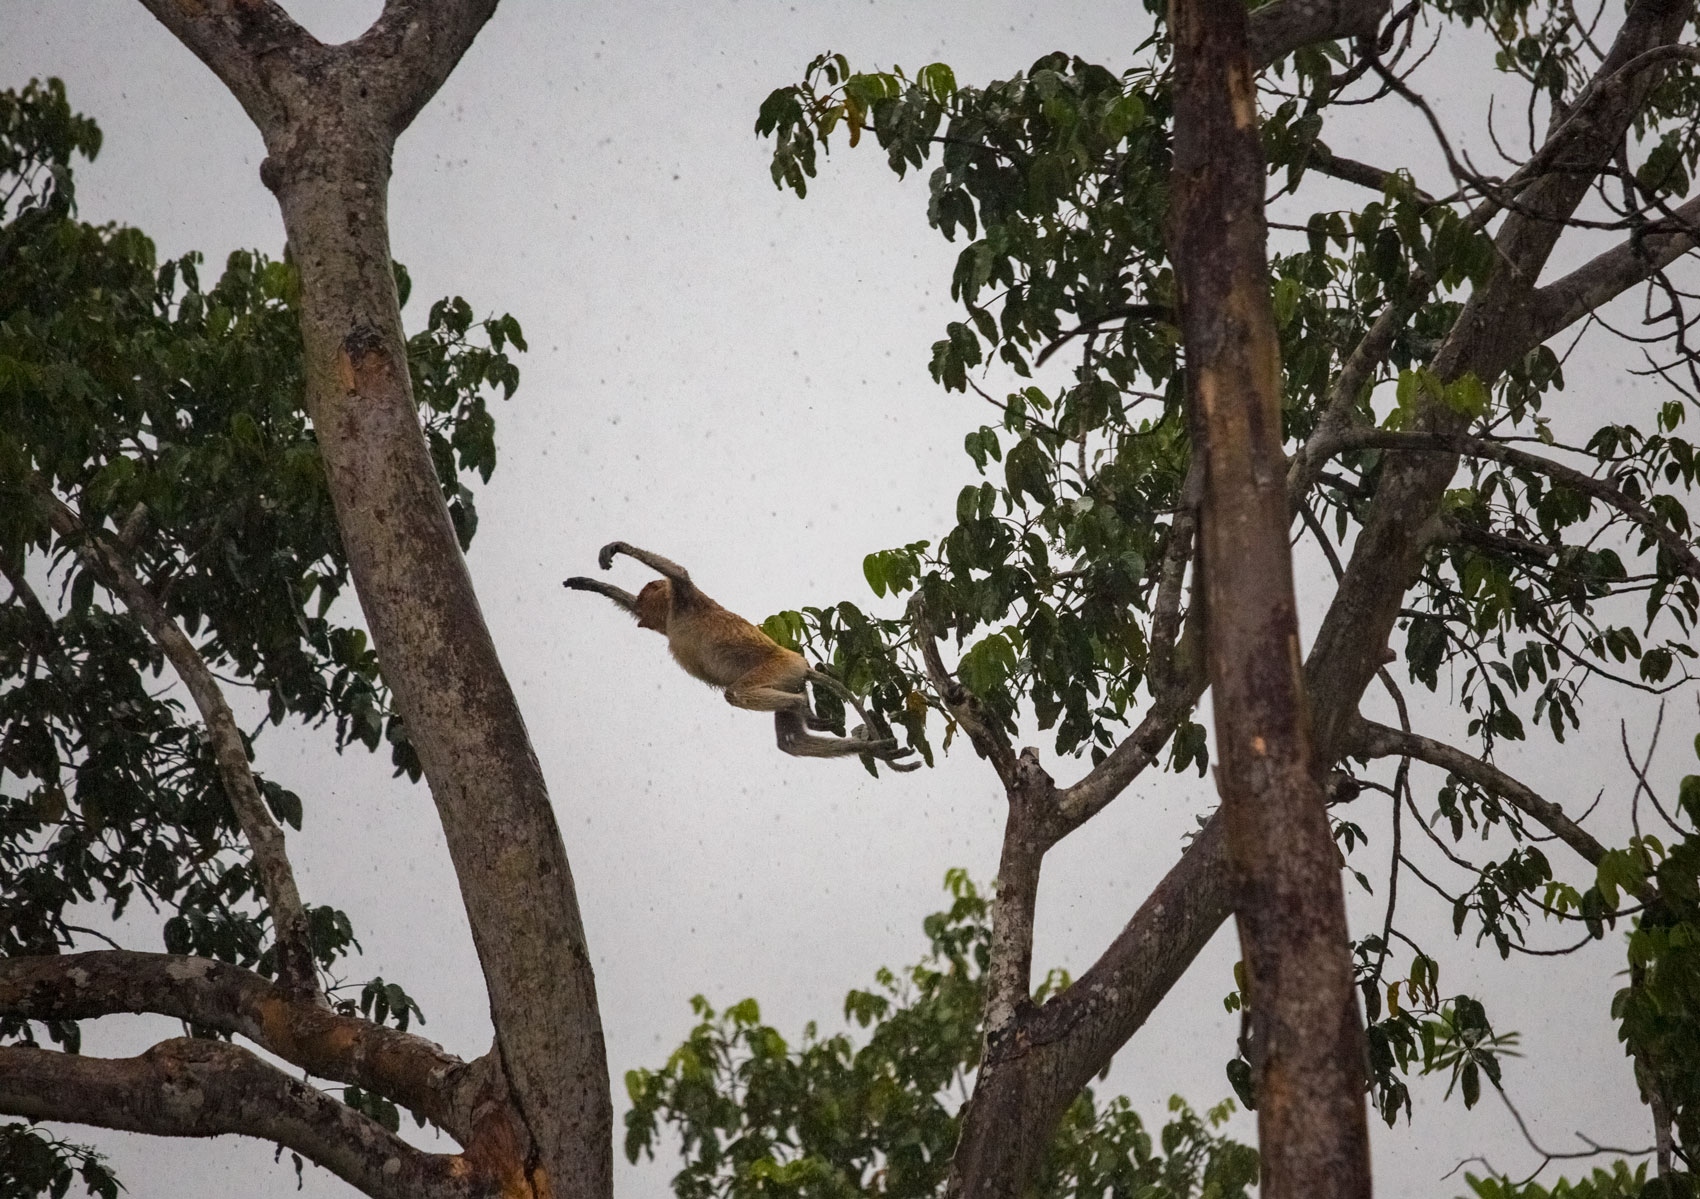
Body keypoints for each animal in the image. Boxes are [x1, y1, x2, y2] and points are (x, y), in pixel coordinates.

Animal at [564, 542, 920, 771]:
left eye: (646, 598)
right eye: (640, 607)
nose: (641, 618)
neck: (673, 614)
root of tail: (801, 663)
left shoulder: (688, 598)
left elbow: (678, 573)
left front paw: (615, 549)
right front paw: (587, 583)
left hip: (780, 667)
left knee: (738, 694)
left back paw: (804, 708)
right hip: (789, 677)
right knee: (791, 741)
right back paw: (864, 743)